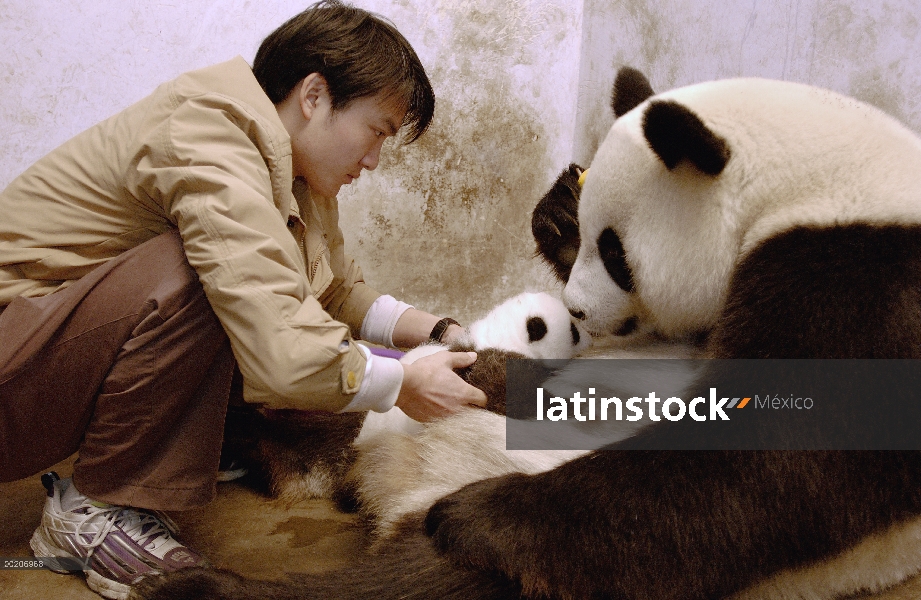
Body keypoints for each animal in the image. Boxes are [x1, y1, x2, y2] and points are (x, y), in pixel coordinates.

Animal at [131, 70, 921, 600]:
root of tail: (397, 494)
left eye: (618, 252)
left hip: (556, 565)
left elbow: (765, 464)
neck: (809, 184)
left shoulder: (864, 279)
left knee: (424, 583)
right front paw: (560, 203)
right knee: (316, 424)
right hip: (371, 425)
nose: (577, 314)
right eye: (599, 239)